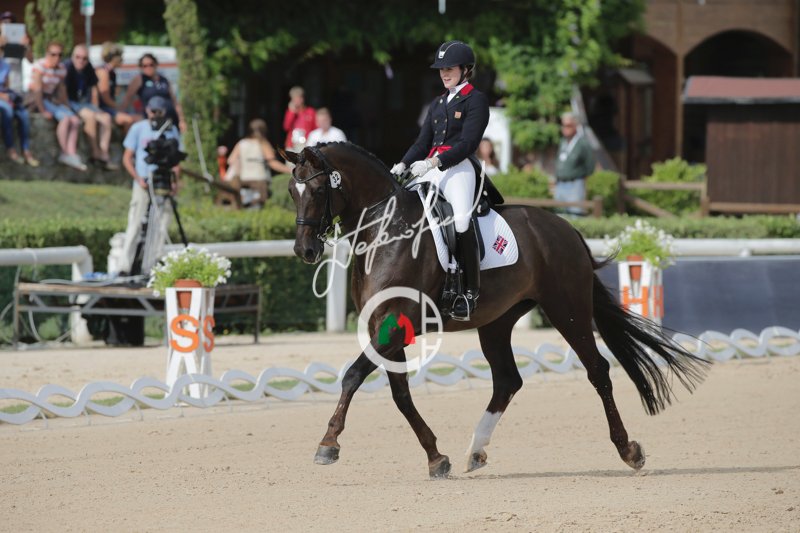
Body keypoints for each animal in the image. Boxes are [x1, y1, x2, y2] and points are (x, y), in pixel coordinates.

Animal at [280, 142, 710, 479]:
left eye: (316, 188)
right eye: (290, 190)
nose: (305, 250)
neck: (387, 233)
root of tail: (566, 229)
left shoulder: (395, 324)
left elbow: (353, 375)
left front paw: (328, 443)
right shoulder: (383, 325)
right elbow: (400, 395)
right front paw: (436, 457)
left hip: (566, 310)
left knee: (598, 371)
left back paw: (628, 450)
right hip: (497, 322)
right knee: (507, 380)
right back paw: (475, 449)